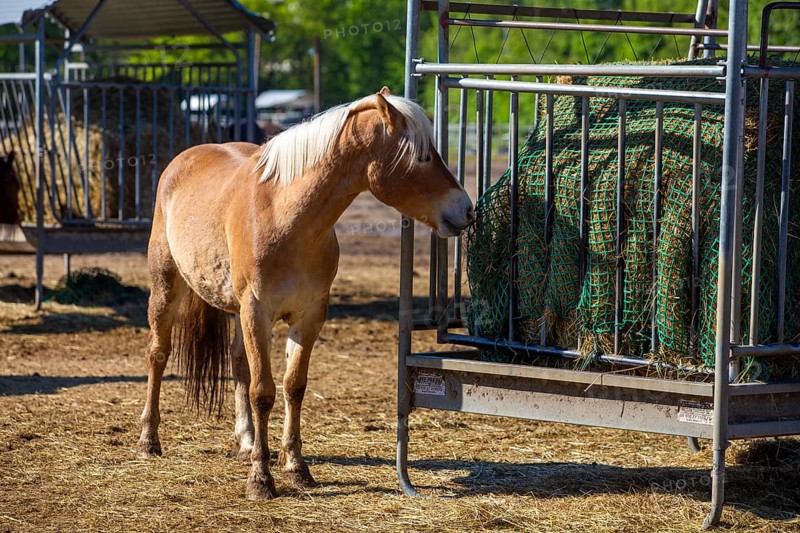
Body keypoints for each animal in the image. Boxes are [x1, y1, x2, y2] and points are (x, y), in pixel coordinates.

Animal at [137, 88, 474, 499]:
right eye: (423, 156)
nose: (466, 210)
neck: (285, 217)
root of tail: (183, 160)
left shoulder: (309, 316)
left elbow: (293, 386)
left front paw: (295, 466)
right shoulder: (257, 312)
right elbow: (263, 392)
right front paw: (261, 479)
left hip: (235, 310)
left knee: (237, 364)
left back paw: (246, 441)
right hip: (167, 286)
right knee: (158, 354)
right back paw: (149, 440)